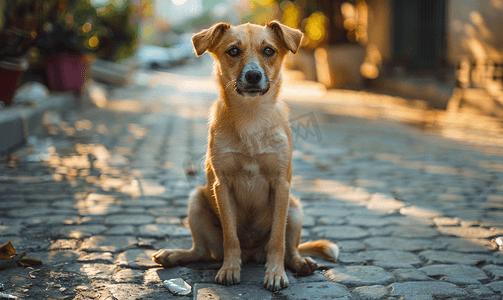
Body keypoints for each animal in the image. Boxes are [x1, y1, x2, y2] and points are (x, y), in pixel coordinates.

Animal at [150, 21, 338, 292]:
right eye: (233, 51)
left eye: (269, 50)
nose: (253, 76)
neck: (251, 118)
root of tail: (252, 254)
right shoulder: (222, 185)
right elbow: (231, 237)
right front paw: (229, 269)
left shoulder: (281, 186)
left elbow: (277, 240)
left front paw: (275, 273)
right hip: (196, 201)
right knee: (201, 252)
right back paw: (174, 254)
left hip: (295, 209)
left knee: (289, 248)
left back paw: (299, 263)